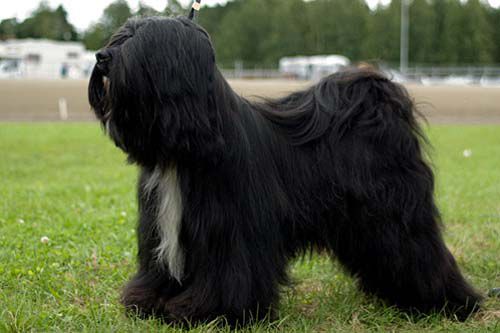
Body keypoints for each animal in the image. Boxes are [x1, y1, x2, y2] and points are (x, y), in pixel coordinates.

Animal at [88, 15, 482, 324]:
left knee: (420, 251)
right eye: (120, 36)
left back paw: (448, 303)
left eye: (140, 43)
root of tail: (377, 98)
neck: (188, 144)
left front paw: (210, 312)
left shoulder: (231, 233)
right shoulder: (163, 230)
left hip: (395, 215)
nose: (102, 56)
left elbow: (231, 276)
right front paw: (149, 302)